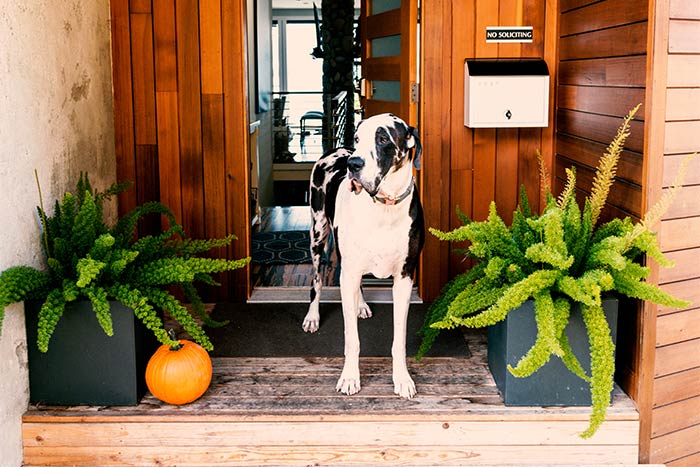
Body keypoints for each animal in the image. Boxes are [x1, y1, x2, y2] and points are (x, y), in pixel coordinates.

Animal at [300, 112, 424, 398]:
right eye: (357, 138)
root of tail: (336, 150)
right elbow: (352, 339)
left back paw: (362, 305)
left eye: (383, 139)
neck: (385, 207)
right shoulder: (347, 273)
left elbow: (399, 339)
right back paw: (313, 316)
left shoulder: (404, 279)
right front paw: (349, 377)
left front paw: (402, 378)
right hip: (317, 234)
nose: (353, 163)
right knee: (316, 282)